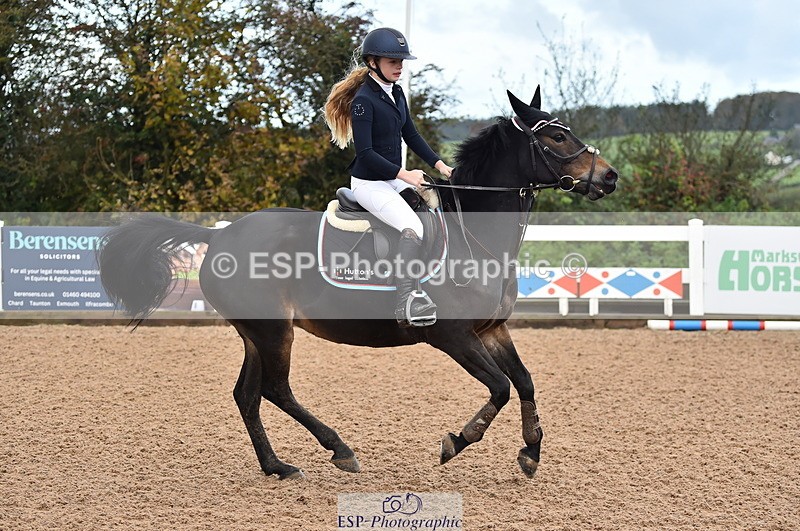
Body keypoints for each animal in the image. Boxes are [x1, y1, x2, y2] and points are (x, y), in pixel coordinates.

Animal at [99, 86, 618, 480]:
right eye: (556, 137)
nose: (610, 177)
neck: (474, 235)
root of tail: (221, 233)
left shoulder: (491, 330)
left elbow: (524, 382)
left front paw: (530, 452)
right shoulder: (452, 336)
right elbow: (500, 388)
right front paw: (458, 441)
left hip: (255, 333)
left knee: (248, 394)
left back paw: (276, 466)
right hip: (274, 331)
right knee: (276, 390)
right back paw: (339, 449)